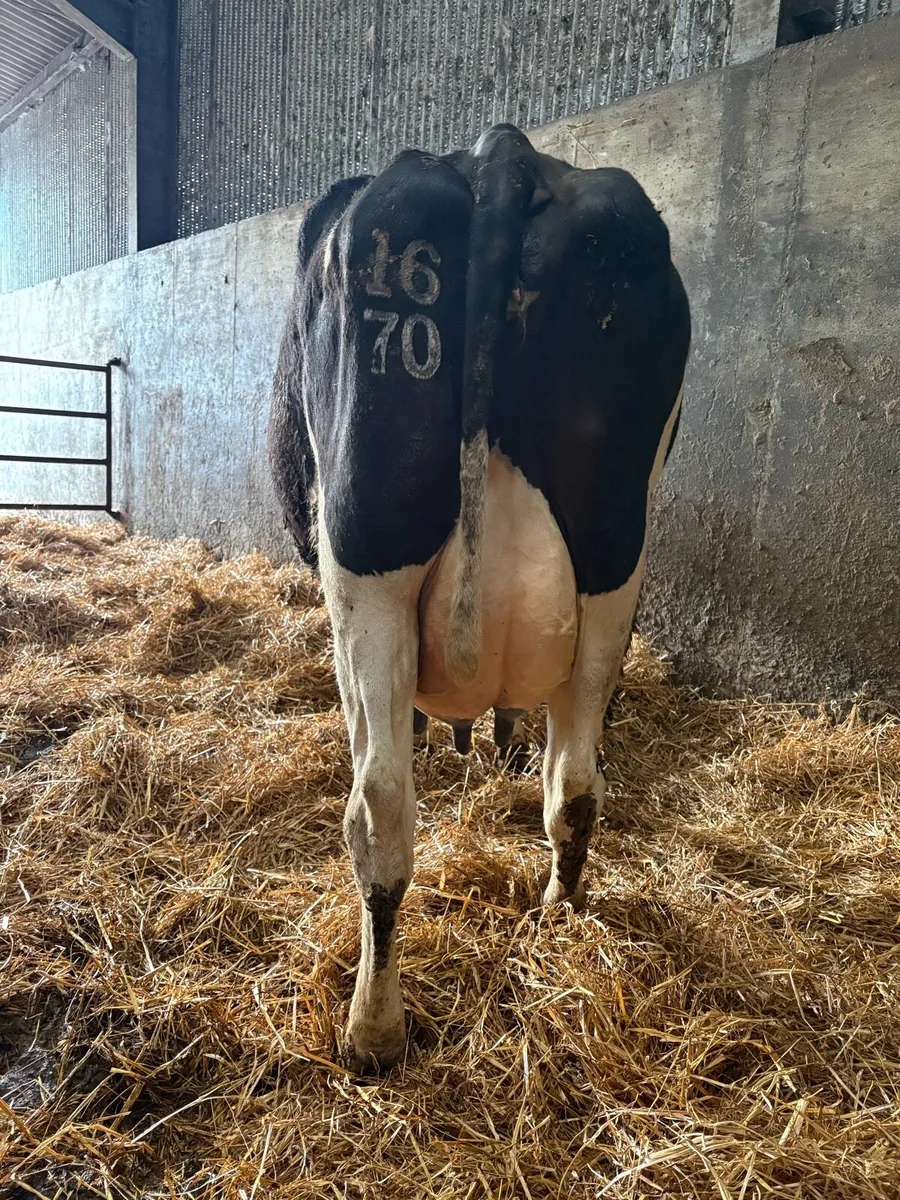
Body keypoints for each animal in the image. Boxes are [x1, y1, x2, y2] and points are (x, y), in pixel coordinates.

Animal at [269, 124, 690, 1073]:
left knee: (381, 808)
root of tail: (506, 151)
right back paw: (561, 917)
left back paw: (372, 1030)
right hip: (616, 559)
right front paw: (489, 742)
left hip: (366, 557)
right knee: (576, 783)